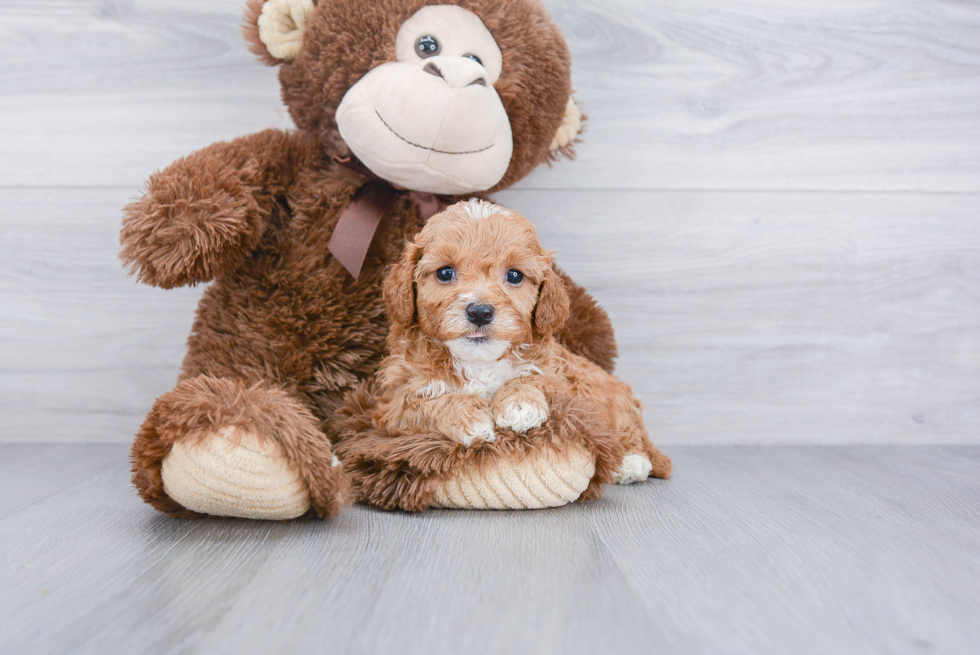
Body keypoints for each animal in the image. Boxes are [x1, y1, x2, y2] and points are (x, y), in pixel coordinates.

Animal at [372, 200, 668, 486]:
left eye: (514, 275)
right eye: (445, 273)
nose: (479, 312)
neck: (480, 362)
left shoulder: (562, 379)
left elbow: (532, 377)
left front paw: (520, 404)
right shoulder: (393, 402)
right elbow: (425, 402)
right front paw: (471, 419)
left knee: (631, 433)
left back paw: (631, 462)